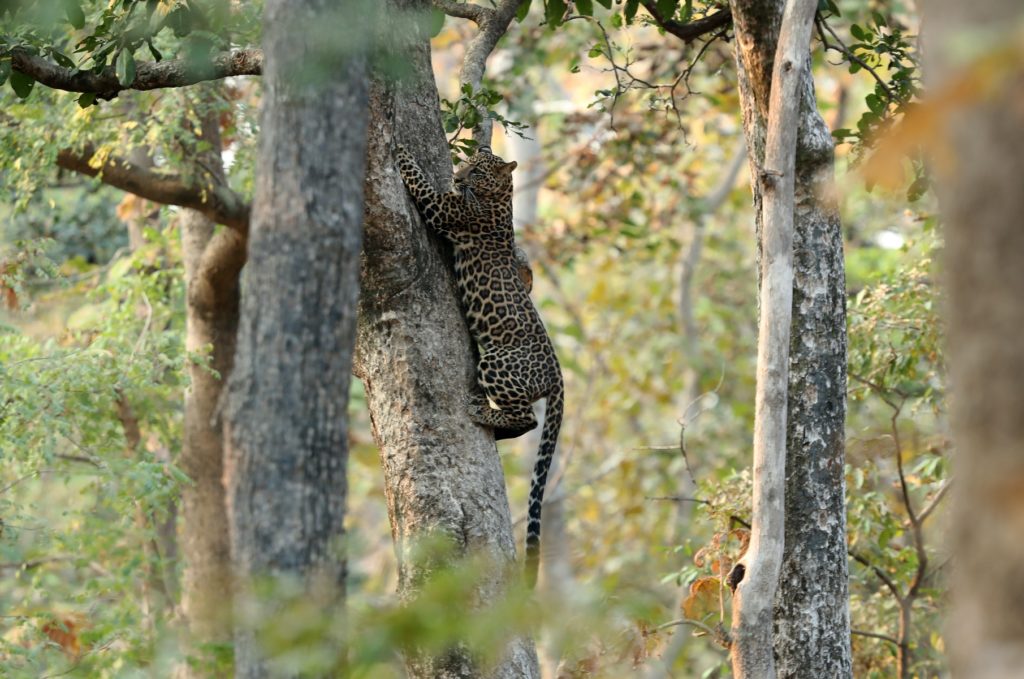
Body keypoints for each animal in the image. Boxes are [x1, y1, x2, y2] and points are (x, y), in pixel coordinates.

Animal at [395, 143, 565, 589]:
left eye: (477, 171)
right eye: (467, 164)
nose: (458, 175)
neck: (500, 198)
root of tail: (559, 376)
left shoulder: (443, 210)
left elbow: (421, 183)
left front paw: (401, 152)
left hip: (495, 363)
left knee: (527, 418)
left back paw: (478, 411)